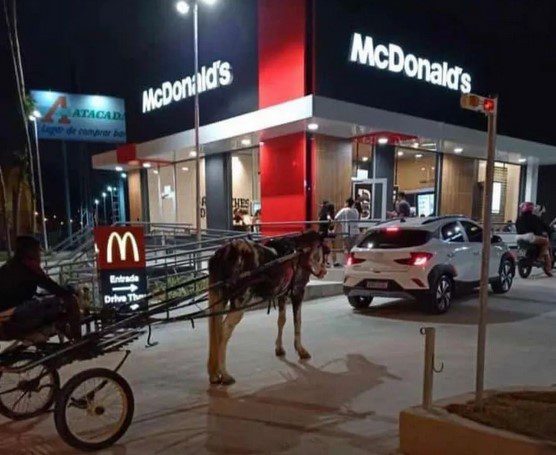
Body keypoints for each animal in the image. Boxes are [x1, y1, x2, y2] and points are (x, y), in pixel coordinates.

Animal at [206, 232, 328, 384]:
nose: (324, 271)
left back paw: (214, 374)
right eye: (322, 249)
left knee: (215, 328)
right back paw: (224, 374)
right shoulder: (298, 291)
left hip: (220, 298)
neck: (300, 252)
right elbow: (297, 322)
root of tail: (225, 252)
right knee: (224, 330)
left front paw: (279, 348)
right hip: (240, 301)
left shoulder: (282, 294)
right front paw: (301, 350)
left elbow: (281, 320)